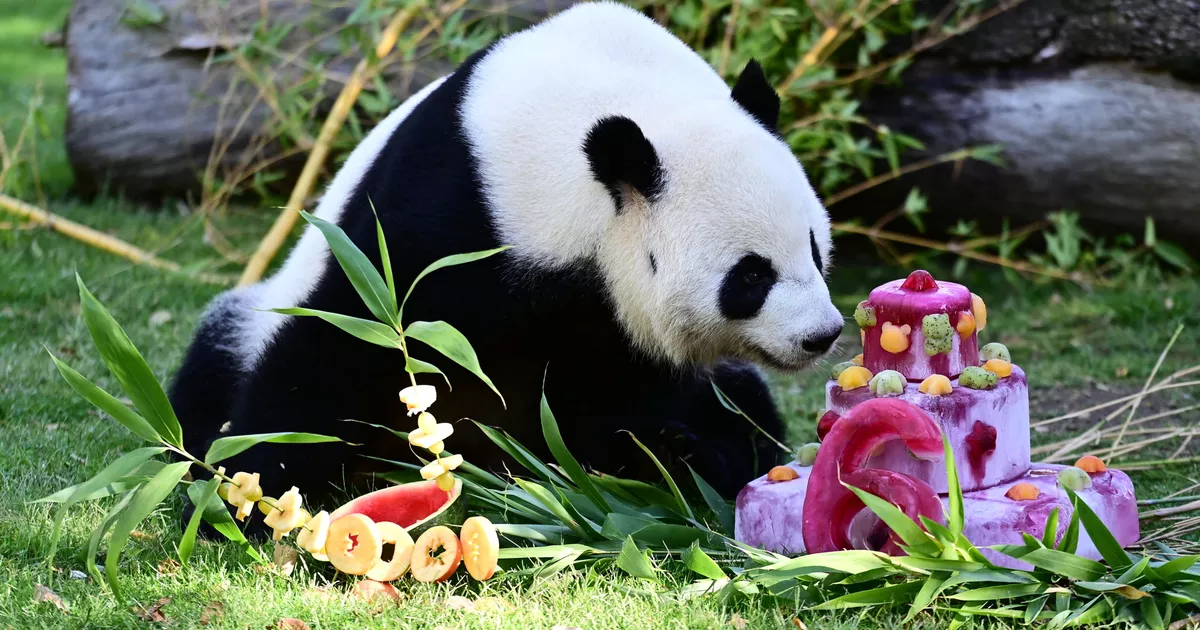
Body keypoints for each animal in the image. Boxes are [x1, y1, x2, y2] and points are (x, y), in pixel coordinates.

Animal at [170, 0, 845, 532]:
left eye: (815, 249)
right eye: (751, 276)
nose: (823, 333)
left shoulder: (607, 324)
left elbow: (623, 399)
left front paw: (673, 456)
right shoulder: (448, 210)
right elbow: (342, 342)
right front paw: (251, 494)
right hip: (252, 313)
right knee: (216, 360)